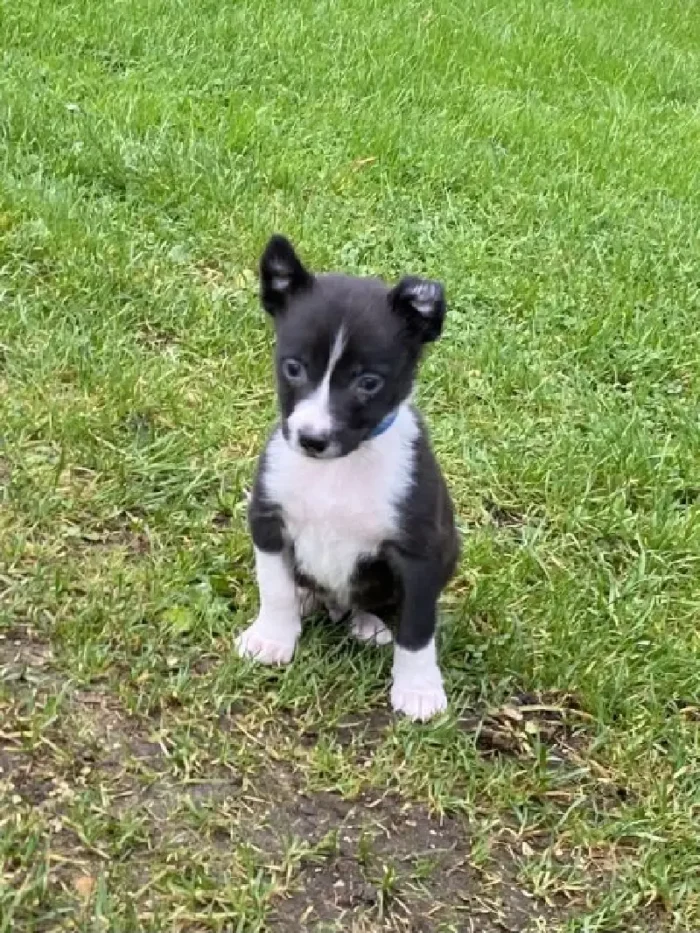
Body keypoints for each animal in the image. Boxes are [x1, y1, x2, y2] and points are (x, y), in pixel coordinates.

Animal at [238, 235, 462, 720]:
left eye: (369, 383)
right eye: (293, 368)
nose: (311, 439)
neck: (337, 470)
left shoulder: (420, 552)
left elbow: (418, 625)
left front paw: (418, 688)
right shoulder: (268, 519)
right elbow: (274, 586)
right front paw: (272, 637)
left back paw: (366, 624)